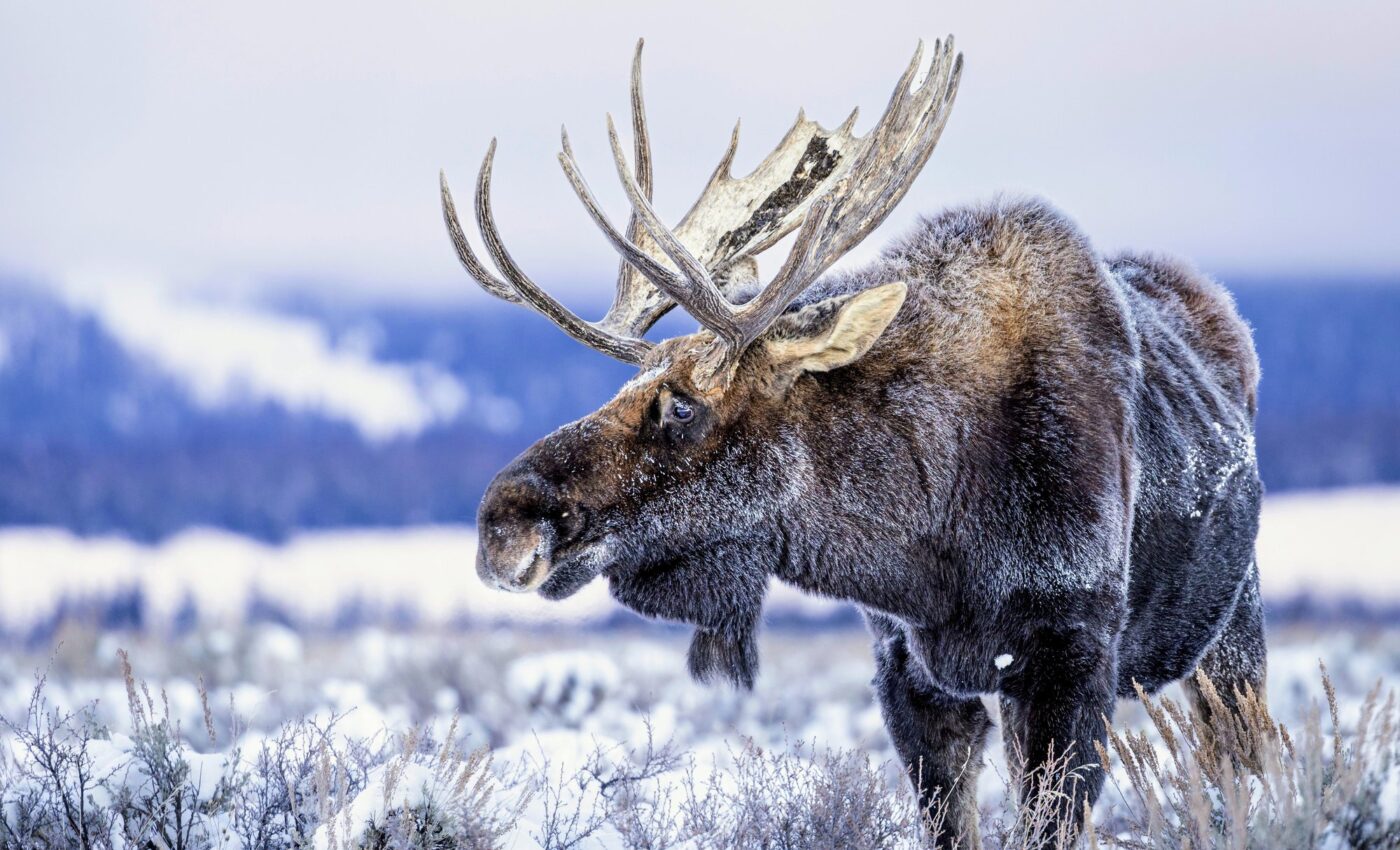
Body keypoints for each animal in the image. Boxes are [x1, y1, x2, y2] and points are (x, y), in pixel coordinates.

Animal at [442, 37, 1266, 848]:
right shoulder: (907, 671)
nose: (502, 523)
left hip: (1233, 631)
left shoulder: (1071, 658)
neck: (932, 543)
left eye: (680, 407)